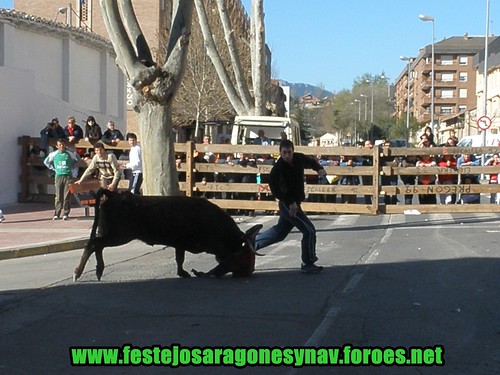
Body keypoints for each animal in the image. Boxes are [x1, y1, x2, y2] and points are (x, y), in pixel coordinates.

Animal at [73, 191, 266, 282]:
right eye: (245, 254)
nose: (249, 271)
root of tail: (115, 194)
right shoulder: (215, 246)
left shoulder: (179, 244)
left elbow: (179, 259)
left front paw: (184, 273)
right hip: (118, 235)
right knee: (93, 244)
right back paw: (79, 272)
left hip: (109, 233)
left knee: (98, 245)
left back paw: (98, 270)